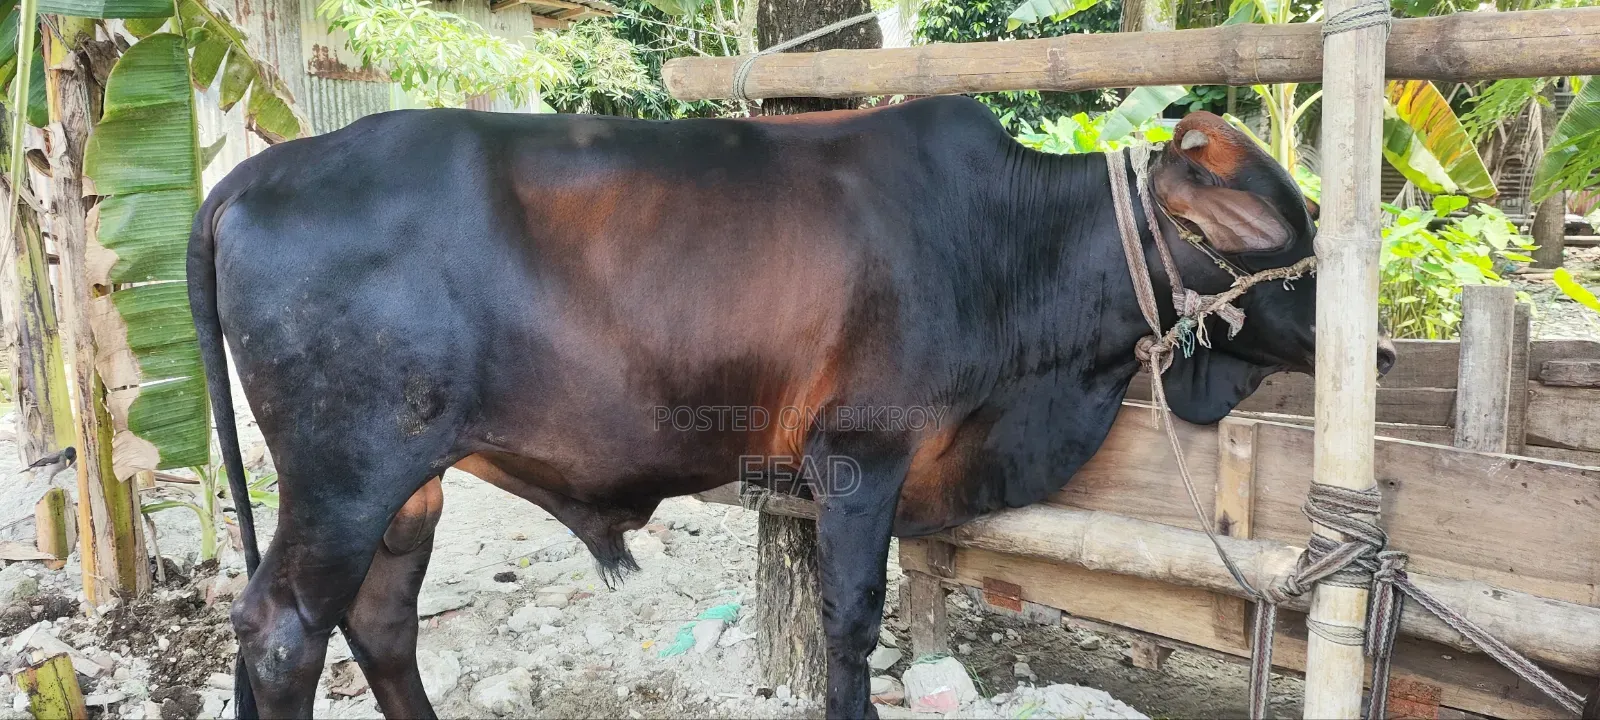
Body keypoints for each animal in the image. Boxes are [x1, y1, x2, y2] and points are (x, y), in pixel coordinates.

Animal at [188, 95, 1394, 720]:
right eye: (1273, 229)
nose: (1376, 346)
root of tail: (256, 174)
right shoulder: (861, 453)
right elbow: (851, 622)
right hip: (345, 476)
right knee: (282, 634)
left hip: (406, 488)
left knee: (377, 621)